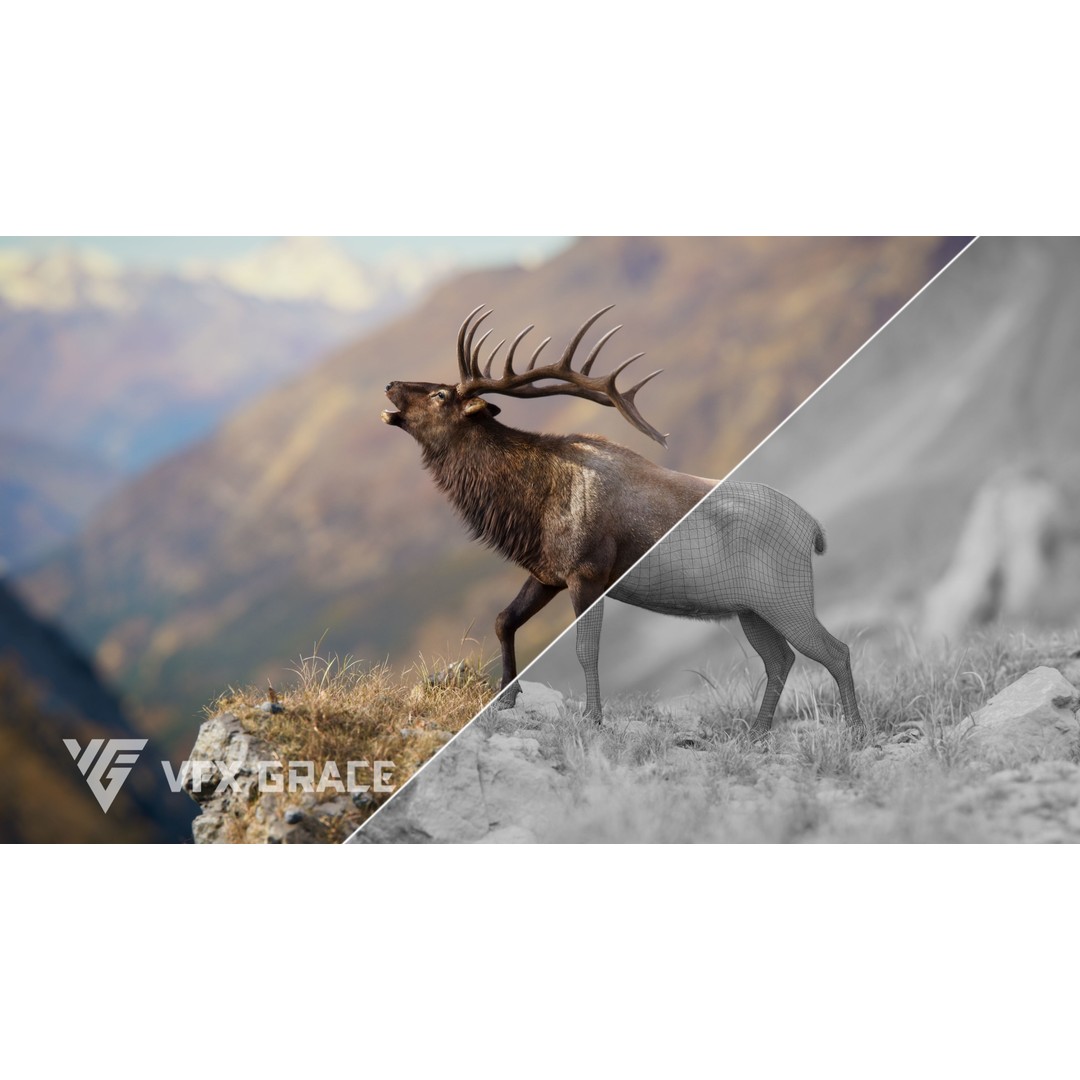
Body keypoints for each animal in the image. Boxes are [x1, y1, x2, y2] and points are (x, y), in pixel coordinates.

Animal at [382, 305, 863, 737]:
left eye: (441, 395)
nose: (389, 384)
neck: (527, 507)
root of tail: (813, 529)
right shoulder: (548, 572)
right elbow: (504, 619)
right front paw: (506, 697)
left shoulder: (588, 571)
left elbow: (585, 649)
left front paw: (593, 719)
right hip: (752, 608)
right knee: (780, 659)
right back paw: (758, 733)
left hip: (786, 595)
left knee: (835, 650)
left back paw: (856, 728)